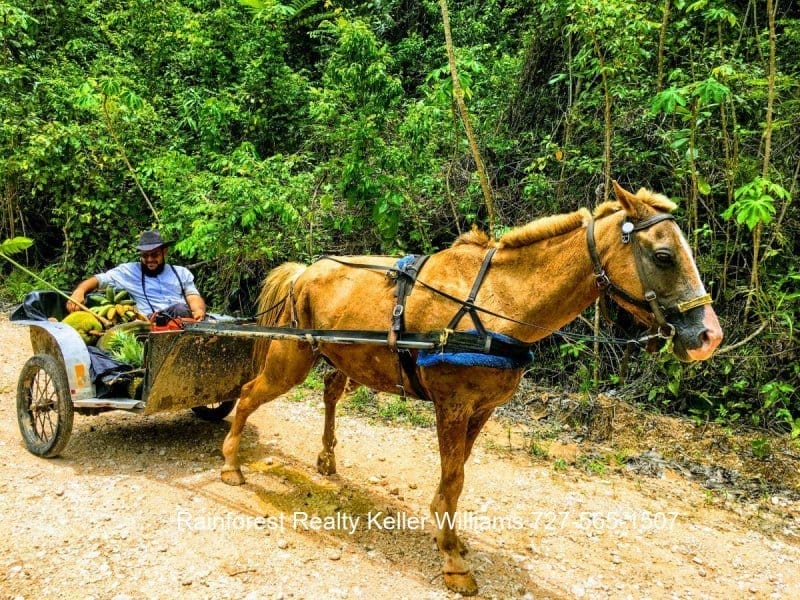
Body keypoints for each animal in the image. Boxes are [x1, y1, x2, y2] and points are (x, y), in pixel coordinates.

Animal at [220, 179, 724, 596]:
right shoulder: (454, 405)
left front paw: (453, 539)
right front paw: (452, 558)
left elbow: (458, 475)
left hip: (340, 356)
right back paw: (230, 463)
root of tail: (305, 270)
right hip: (291, 358)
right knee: (247, 395)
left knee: (327, 393)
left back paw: (325, 458)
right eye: (663, 256)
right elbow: (453, 476)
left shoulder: (483, 409)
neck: (497, 304)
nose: (708, 336)